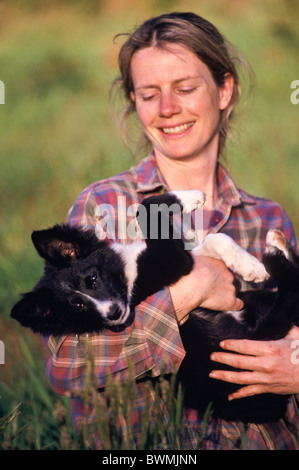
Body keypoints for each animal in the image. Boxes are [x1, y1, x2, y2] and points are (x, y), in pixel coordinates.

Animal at [10, 191, 299, 422]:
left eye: (92, 278)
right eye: (78, 306)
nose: (113, 315)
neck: (127, 276)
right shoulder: (174, 262)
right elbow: (150, 208)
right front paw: (252, 266)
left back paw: (278, 242)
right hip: (254, 344)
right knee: (285, 303)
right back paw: (274, 258)